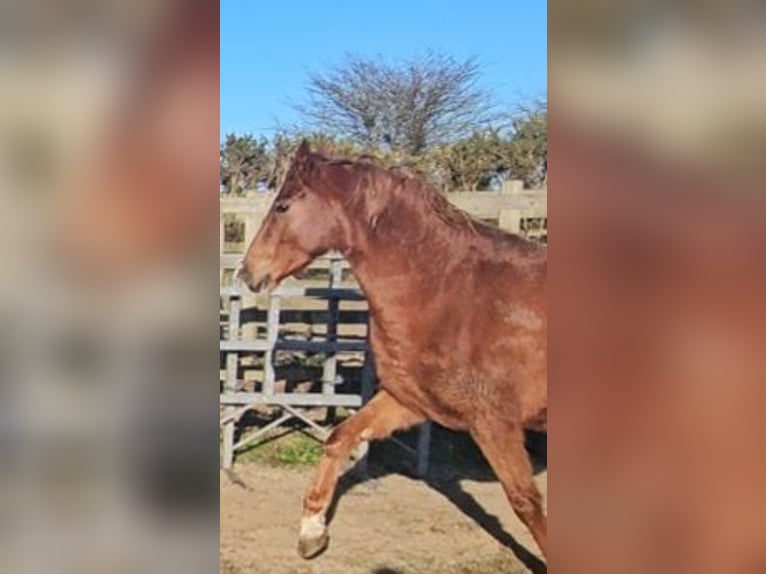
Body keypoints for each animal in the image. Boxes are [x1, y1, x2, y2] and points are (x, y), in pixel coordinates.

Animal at [239, 141, 547, 562]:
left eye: (283, 206)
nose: (247, 272)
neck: (451, 295)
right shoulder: (409, 400)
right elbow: (340, 437)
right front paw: (312, 534)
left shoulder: (494, 422)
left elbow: (526, 502)